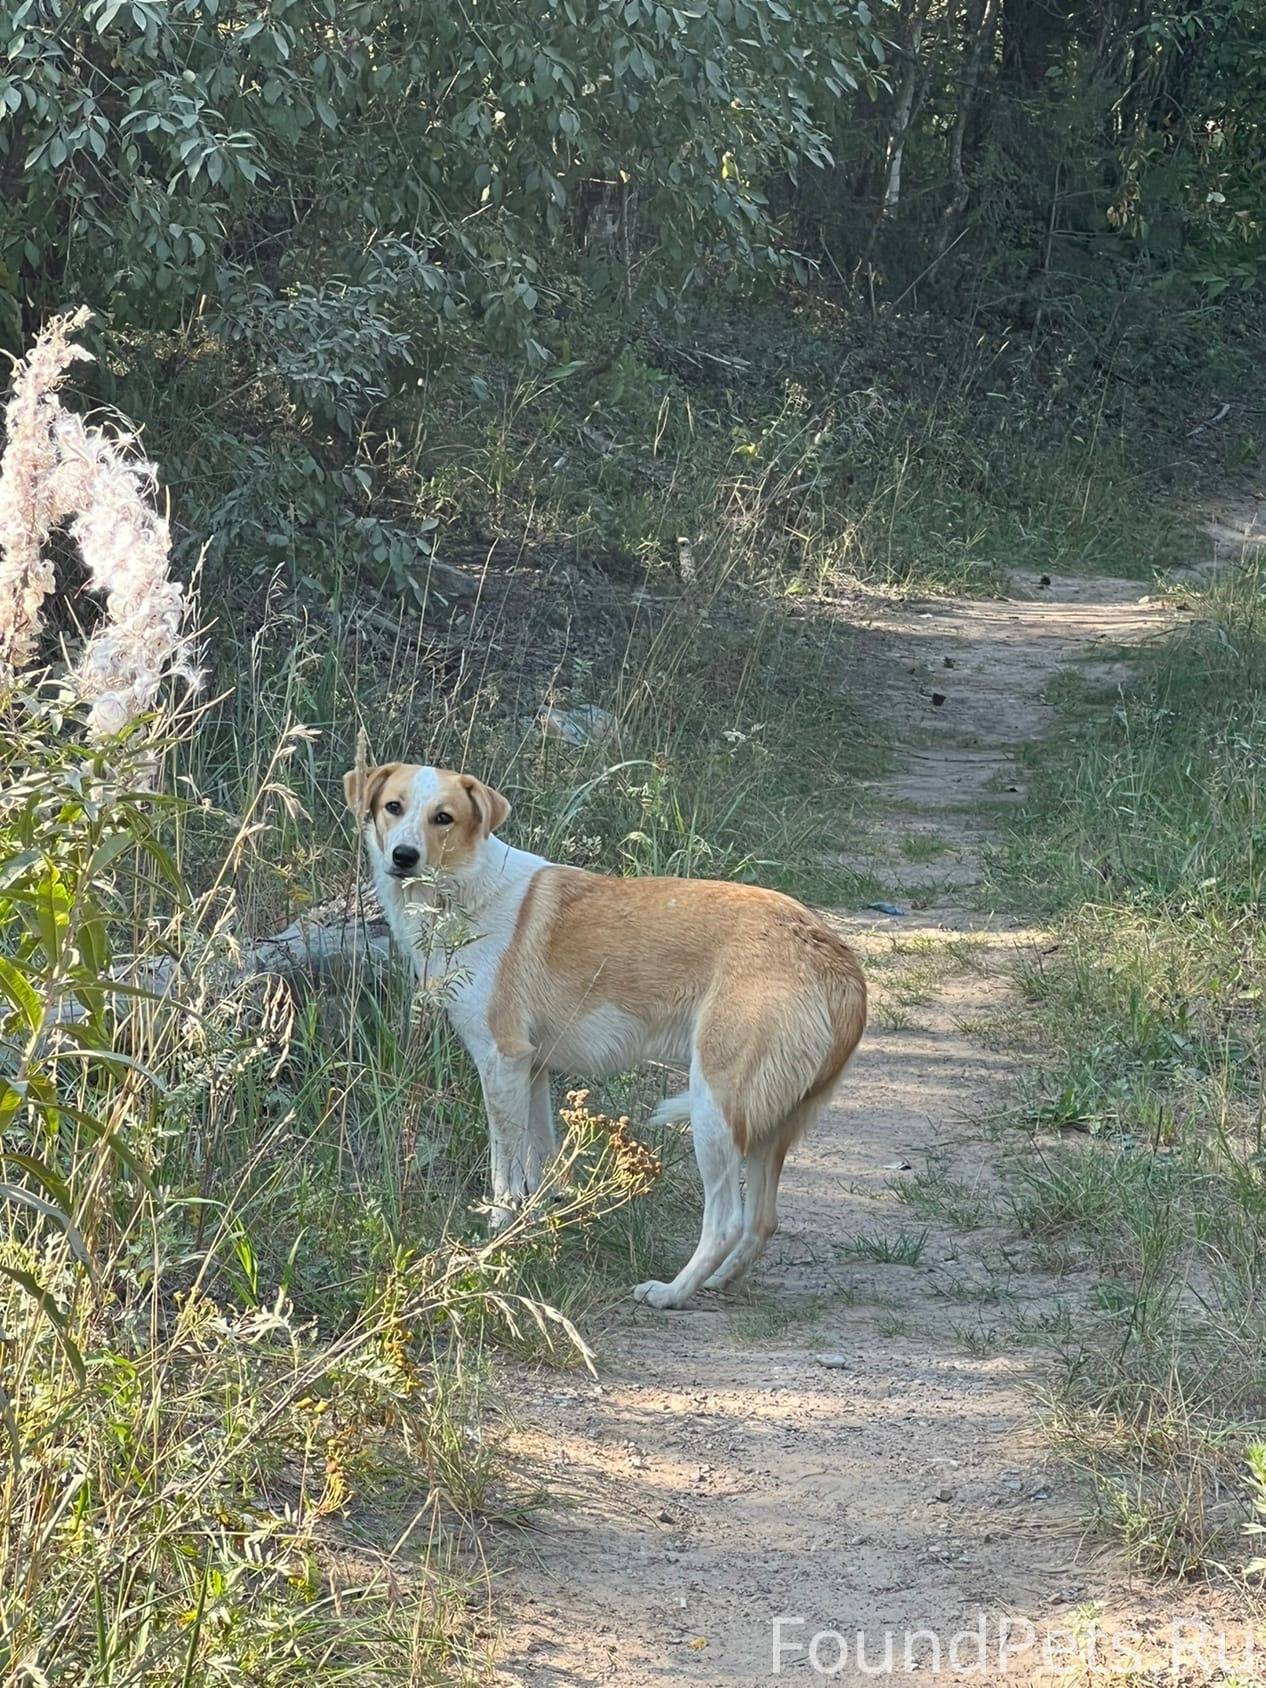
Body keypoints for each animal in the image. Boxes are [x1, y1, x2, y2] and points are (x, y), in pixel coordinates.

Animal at [342, 762, 871, 1303]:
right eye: (394, 807)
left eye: (443, 818)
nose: (404, 856)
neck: (463, 891)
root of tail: (832, 953)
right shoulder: (531, 1069)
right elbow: (539, 1162)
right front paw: (537, 1227)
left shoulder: (500, 1061)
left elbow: (503, 1171)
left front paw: (496, 1234)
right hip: (770, 1124)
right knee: (763, 1222)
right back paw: (717, 1282)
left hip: (716, 1108)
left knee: (726, 1222)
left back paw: (671, 1293)